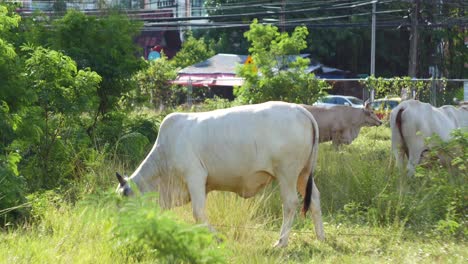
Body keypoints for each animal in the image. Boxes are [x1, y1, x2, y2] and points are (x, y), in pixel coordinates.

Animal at [116, 101, 326, 248]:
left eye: (123, 203)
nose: (121, 230)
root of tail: (300, 110)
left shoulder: (195, 177)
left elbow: (198, 213)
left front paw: (217, 238)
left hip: (287, 173)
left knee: (290, 203)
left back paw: (281, 242)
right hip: (303, 174)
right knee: (315, 199)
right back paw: (320, 237)